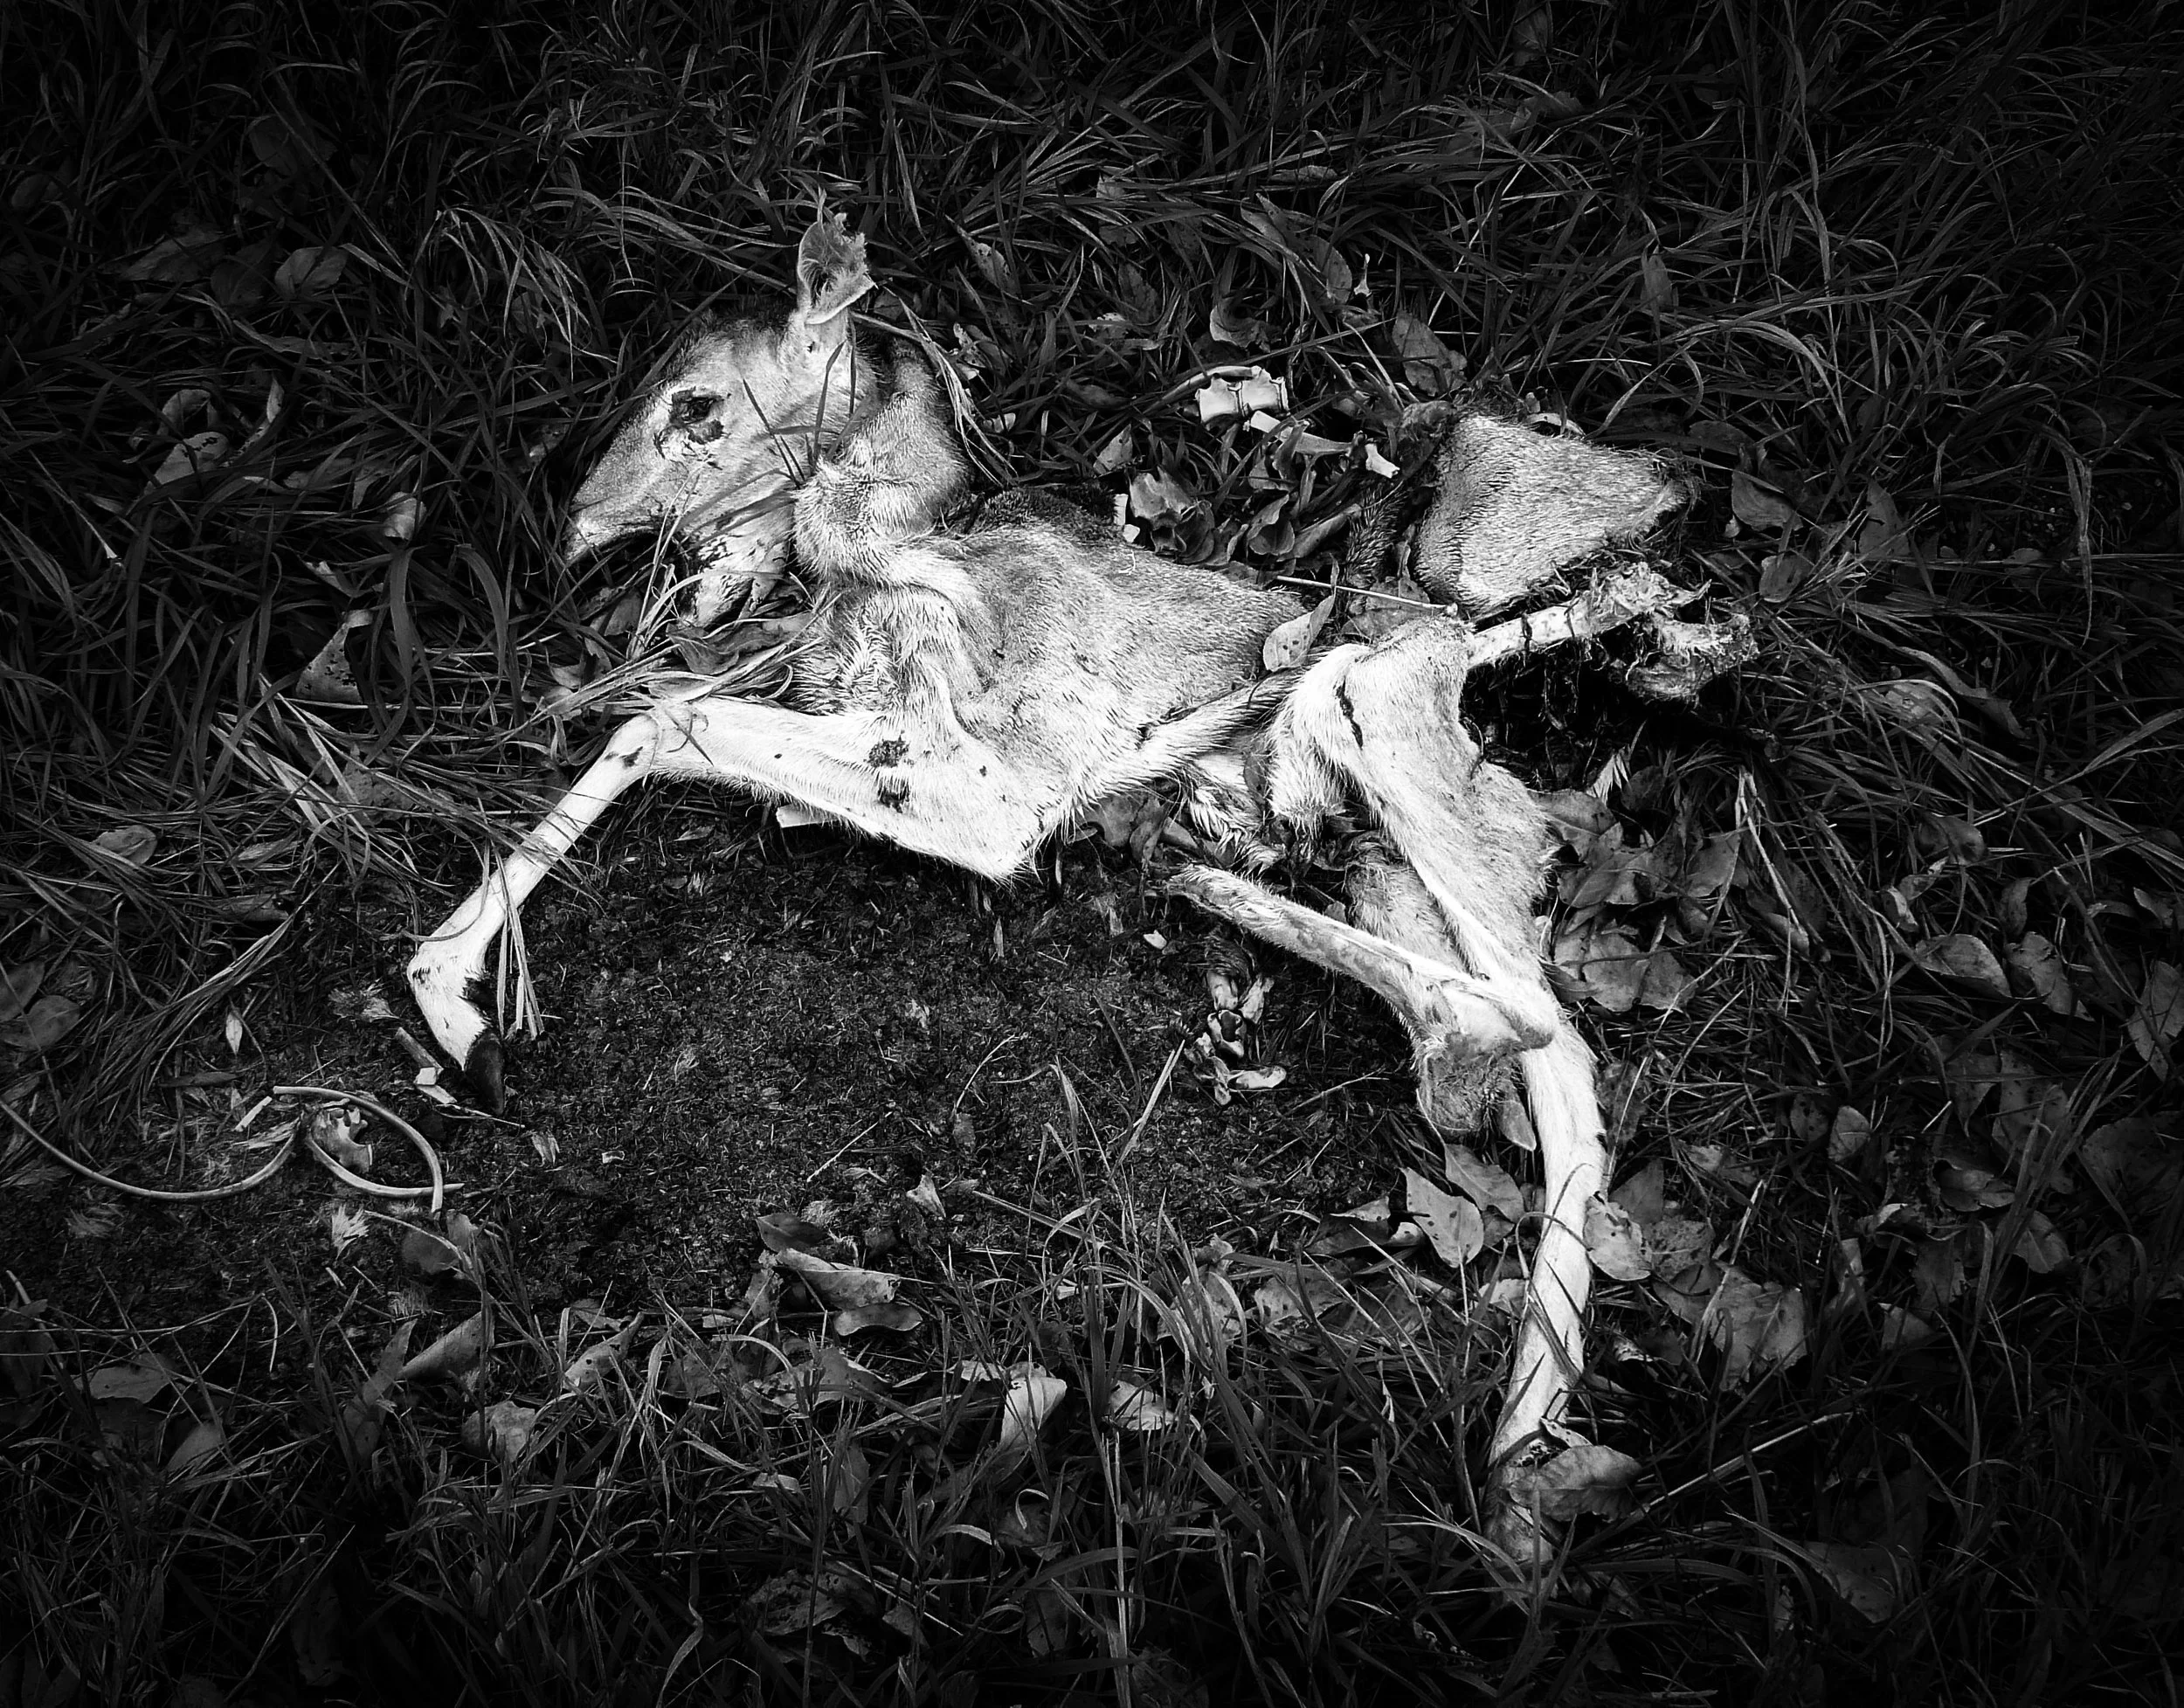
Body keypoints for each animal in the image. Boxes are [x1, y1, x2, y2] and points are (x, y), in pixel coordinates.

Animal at [407, 214, 1739, 1567]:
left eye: (697, 405)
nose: (574, 526)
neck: (888, 553)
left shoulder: (997, 790)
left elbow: (662, 710)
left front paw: (458, 1006)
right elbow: (661, 714)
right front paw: (458, 1010)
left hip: (1376, 712)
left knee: (1548, 1032)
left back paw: (1515, 1469)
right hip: (1360, 856)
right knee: (1507, 1031)